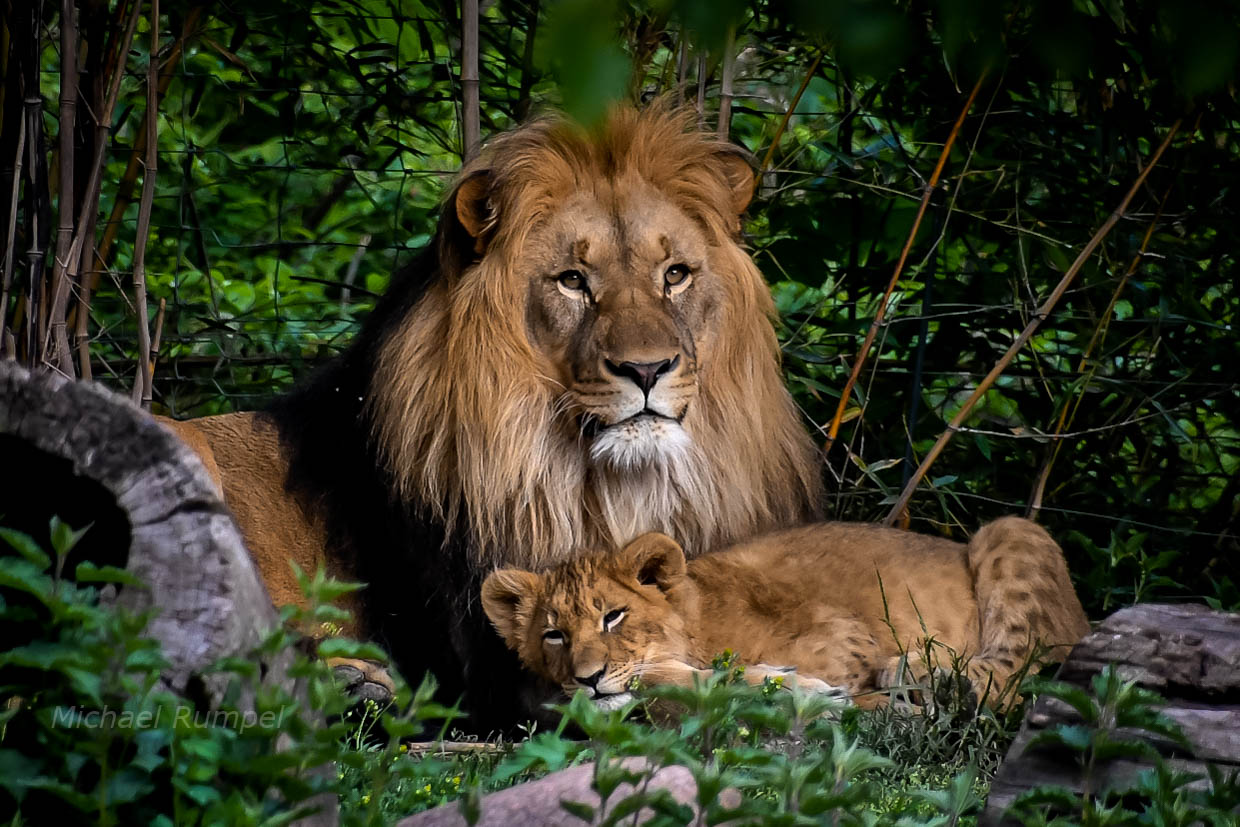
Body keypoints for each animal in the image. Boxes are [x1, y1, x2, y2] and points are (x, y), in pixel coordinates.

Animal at [162, 105, 823, 729]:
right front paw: (792, 688)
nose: (646, 369)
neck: (603, 486)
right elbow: (653, 675)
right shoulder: (505, 661)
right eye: (573, 281)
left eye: (676, 275)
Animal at [478, 520, 1091, 709]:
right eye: (554, 635)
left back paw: (926, 674)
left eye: (614, 617)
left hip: (1010, 530)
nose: (589, 678)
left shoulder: (847, 642)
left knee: (1020, 674)